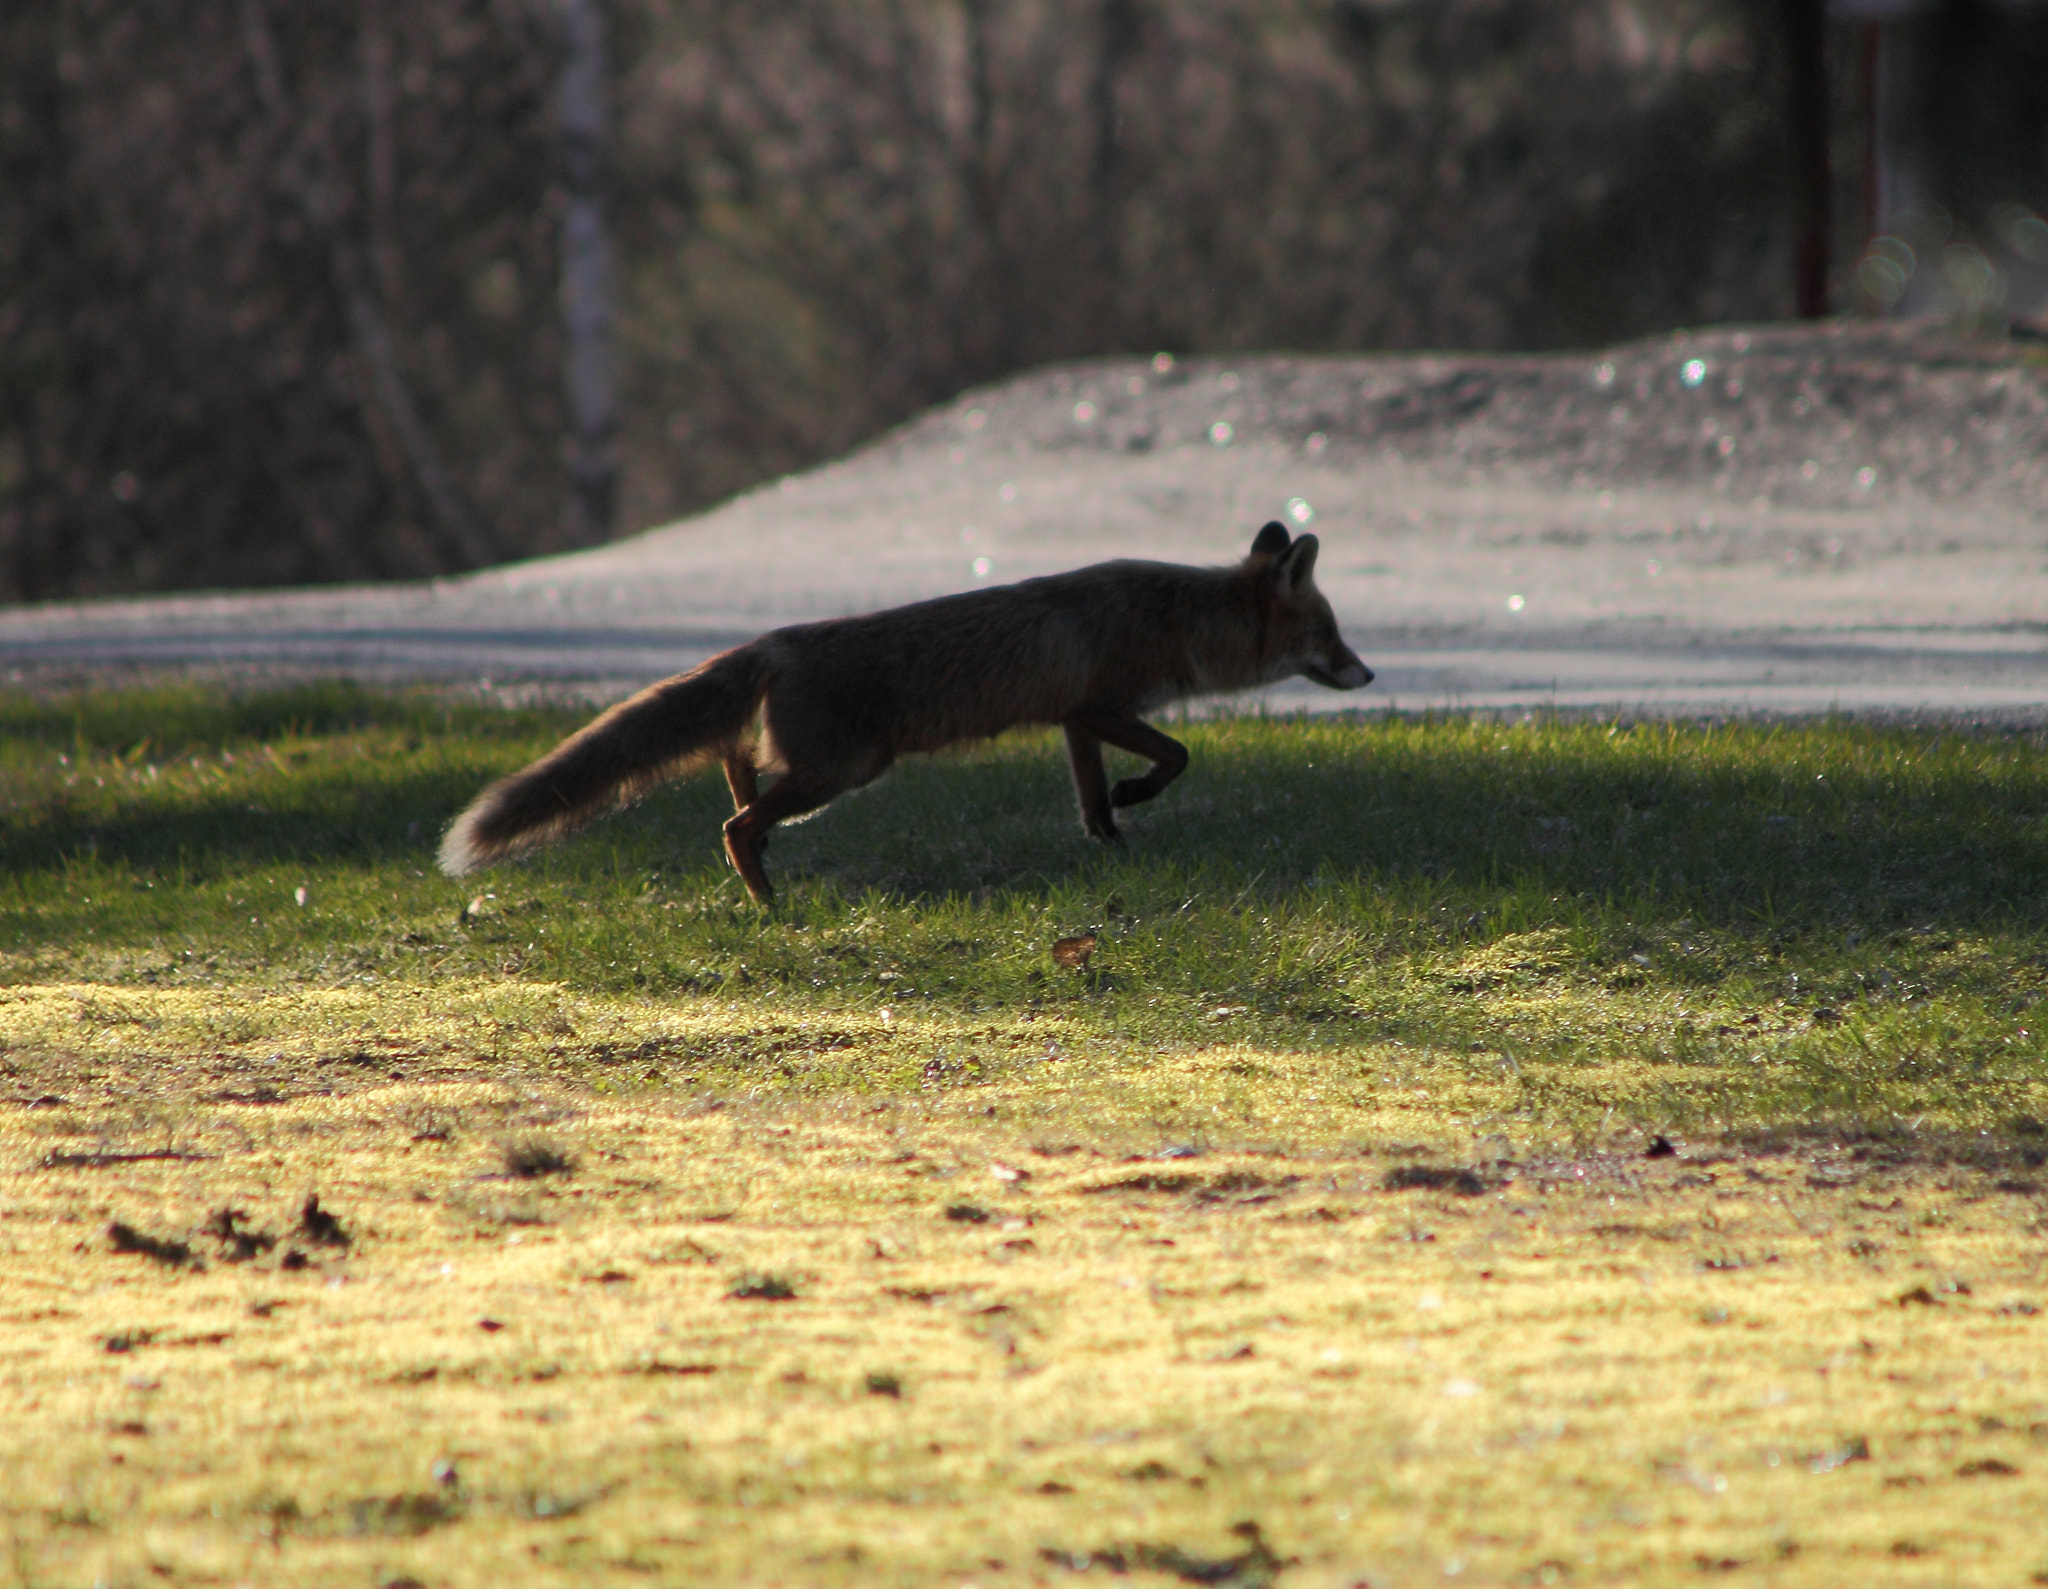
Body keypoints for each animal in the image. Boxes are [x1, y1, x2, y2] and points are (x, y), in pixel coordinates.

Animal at [446, 516, 1376, 900]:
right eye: (1330, 633)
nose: (1368, 672)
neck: (1175, 617)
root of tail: (773, 641)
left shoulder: (1076, 719)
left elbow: (1092, 802)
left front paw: (1114, 845)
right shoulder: (1106, 703)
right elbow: (1177, 754)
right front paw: (1135, 799)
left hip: (820, 767)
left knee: (735, 760)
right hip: (847, 768)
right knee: (735, 823)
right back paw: (769, 904)